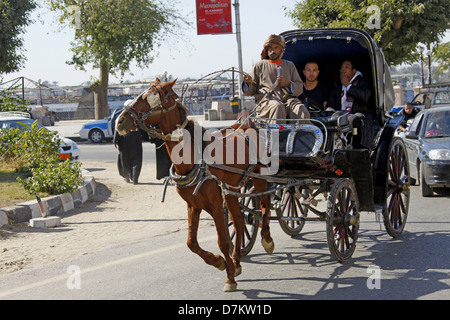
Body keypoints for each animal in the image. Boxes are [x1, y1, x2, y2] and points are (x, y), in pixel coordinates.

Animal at [114, 79, 272, 292]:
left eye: (150, 98)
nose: (120, 121)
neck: (194, 160)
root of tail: (246, 125)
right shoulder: (192, 205)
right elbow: (191, 243)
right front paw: (220, 262)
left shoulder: (215, 204)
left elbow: (223, 241)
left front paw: (229, 278)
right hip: (232, 189)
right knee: (239, 221)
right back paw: (237, 260)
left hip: (259, 176)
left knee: (265, 206)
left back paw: (267, 239)